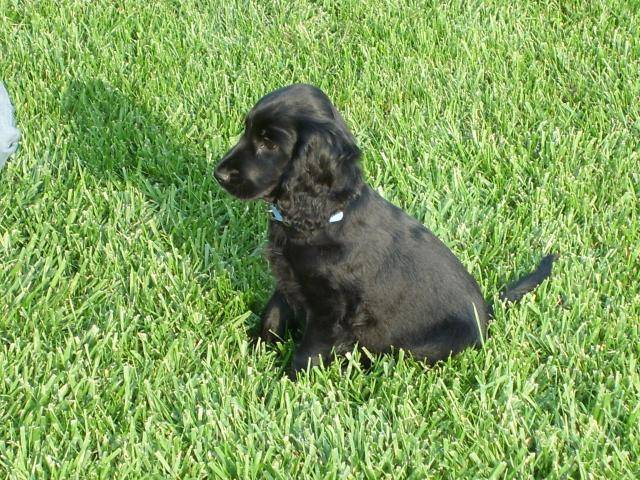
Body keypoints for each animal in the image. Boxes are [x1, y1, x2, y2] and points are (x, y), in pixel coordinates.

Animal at [215, 84, 555, 376]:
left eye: (269, 142)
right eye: (248, 130)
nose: (219, 174)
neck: (326, 216)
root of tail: (486, 311)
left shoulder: (332, 308)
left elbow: (309, 351)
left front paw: (287, 382)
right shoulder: (288, 277)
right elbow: (273, 314)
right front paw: (255, 352)